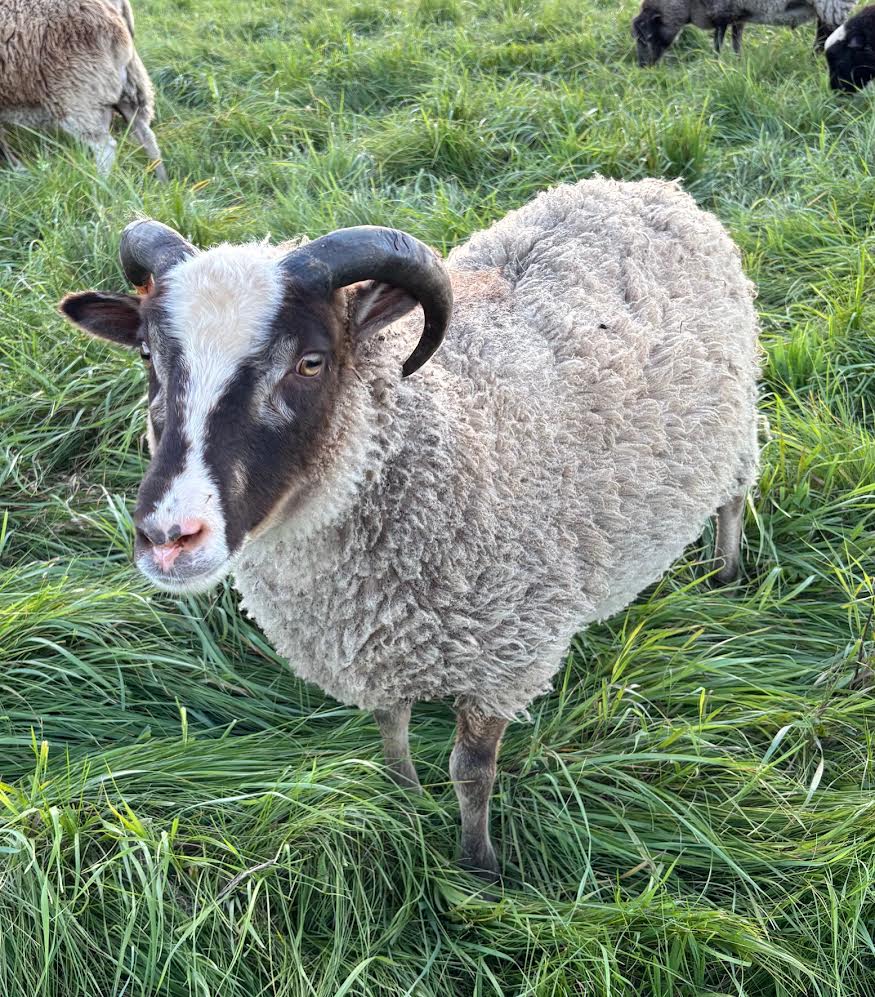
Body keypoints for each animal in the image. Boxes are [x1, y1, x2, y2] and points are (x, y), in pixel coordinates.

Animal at [0, 0, 166, 179]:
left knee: (105, 147)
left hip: (79, 94)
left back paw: (100, 184)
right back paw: (162, 180)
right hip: (127, 87)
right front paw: (17, 168)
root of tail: (113, 7)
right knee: (146, 135)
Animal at [58, 177, 761, 879]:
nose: (170, 538)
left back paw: (726, 575)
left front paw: (479, 867)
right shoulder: (371, 648)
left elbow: (471, 772)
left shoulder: (506, 659)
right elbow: (390, 731)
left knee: (734, 499)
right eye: (147, 353)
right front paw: (405, 798)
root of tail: (643, 188)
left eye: (311, 362)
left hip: (738, 429)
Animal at [632, 0, 856, 66]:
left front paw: (717, 64)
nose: (643, 66)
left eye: (647, 37)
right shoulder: (736, 14)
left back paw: (814, 60)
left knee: (825, 33)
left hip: (832, 4)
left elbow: (718, 42)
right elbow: (736, 40)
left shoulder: (721, 12)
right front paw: (738, 62)